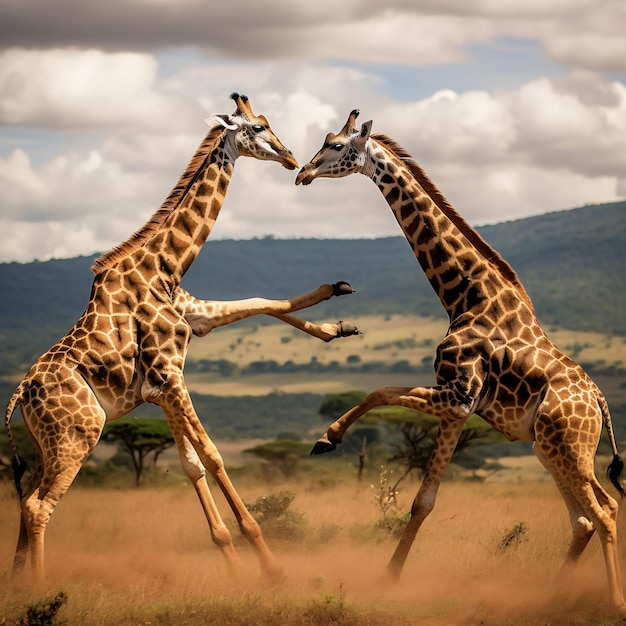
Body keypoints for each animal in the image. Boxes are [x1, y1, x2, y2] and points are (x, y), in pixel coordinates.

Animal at [3, 91, 360, 580]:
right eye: (259, 127)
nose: (290, 159)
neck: (164, 266)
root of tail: (19, 394)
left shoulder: (183, 339)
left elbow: (260, 303)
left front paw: (338, 317)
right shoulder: (171, 374)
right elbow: (210, 454)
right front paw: (268, 565)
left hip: (46, 445)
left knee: (26, 501)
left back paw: (19, 583)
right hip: (80, 433)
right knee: (39, 507)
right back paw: (38, 589)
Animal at [294, 109, 624, 612]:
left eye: (335, 145)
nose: (302, 173)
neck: (465, 295)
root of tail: (600, 403)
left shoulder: (458, 395)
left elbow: (382, 394)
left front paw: (327, 439)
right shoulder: (459, 407)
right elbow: (422, 499)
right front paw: (390, 577)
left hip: (568, 448)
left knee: (603, 513)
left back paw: (613, 602)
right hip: (550, 449)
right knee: (586, 518)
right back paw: (553, 595)